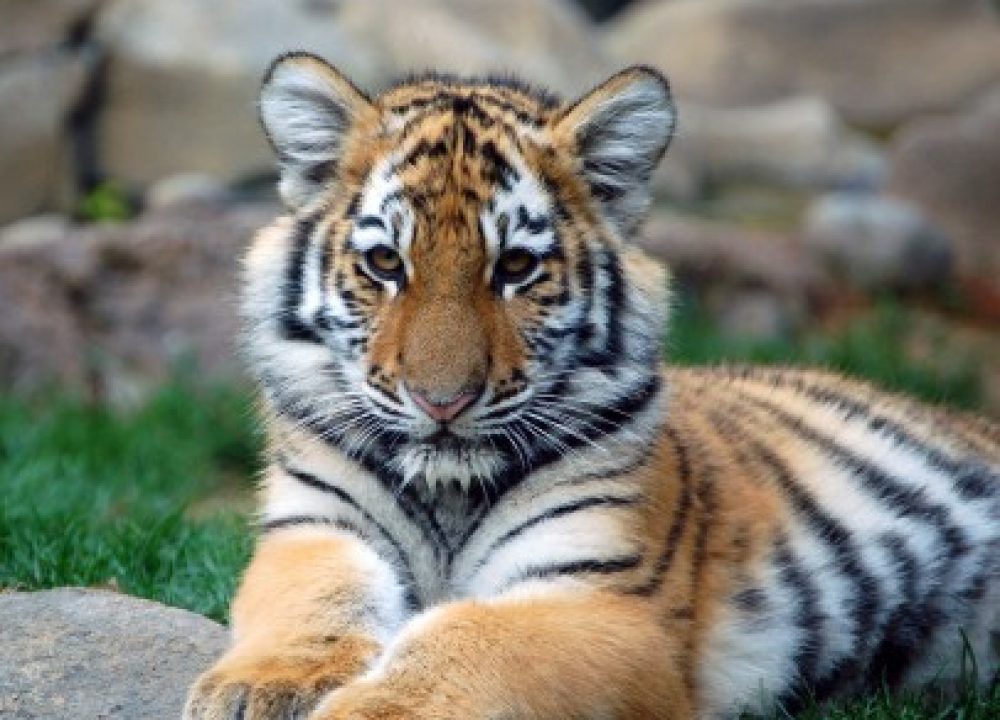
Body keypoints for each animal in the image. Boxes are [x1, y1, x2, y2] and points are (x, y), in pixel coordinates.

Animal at [184, 52, 1000, 720]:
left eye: (516, 268)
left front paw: (372, 711)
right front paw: (263, 686)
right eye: (386, 263)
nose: (442, 402)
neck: (449, 493)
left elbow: (466, 638)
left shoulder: (605, 600)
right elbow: (316, 596)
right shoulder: (316, 526)